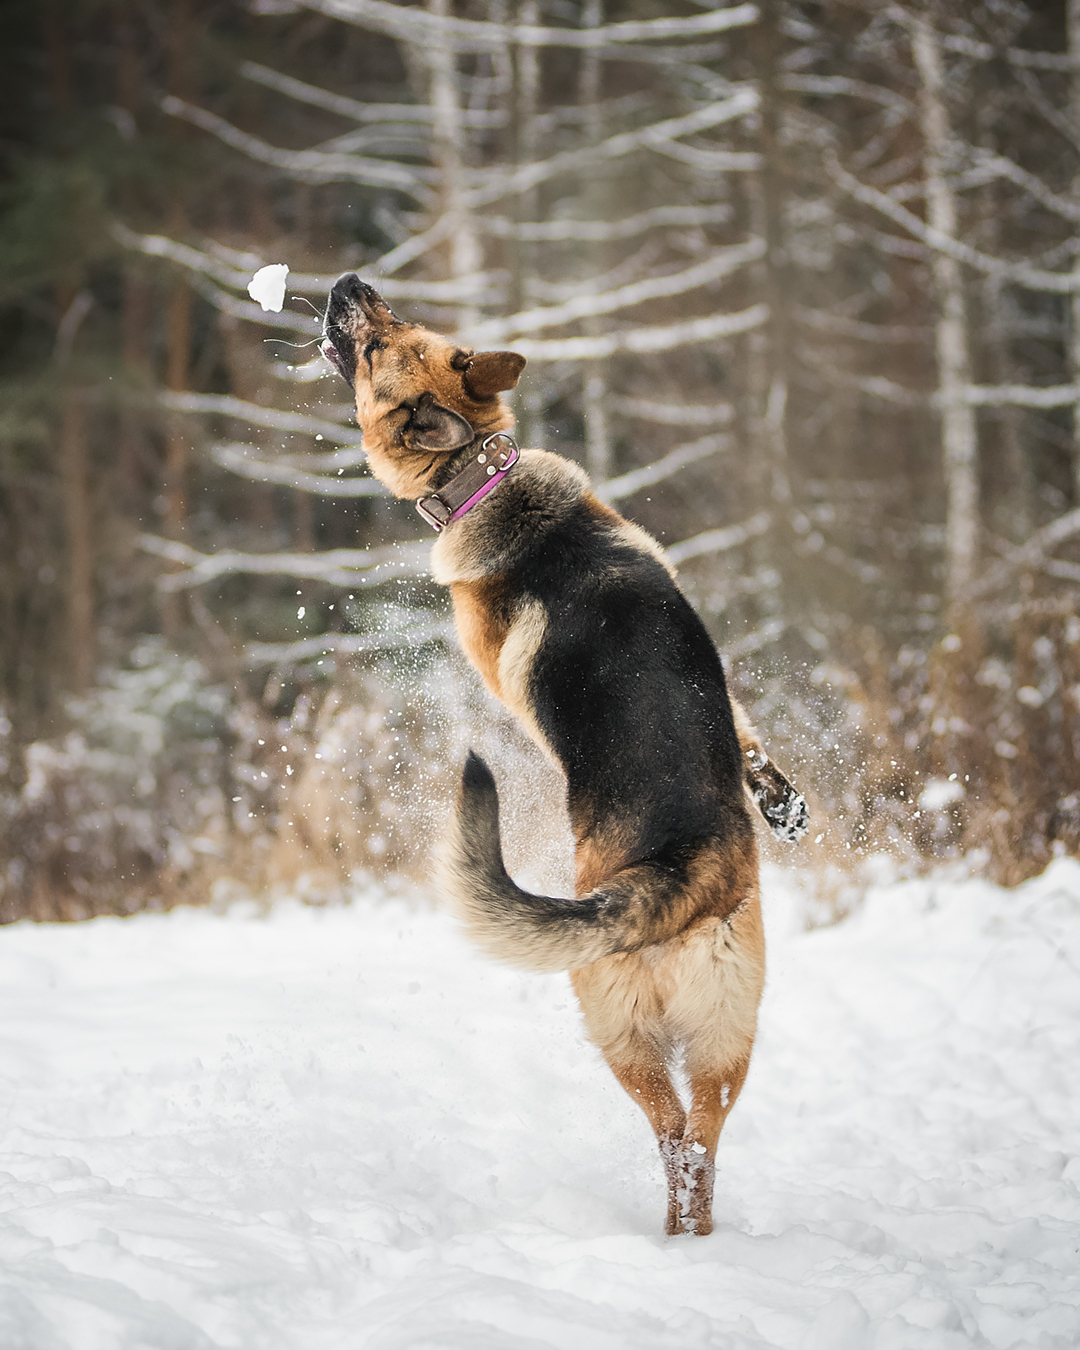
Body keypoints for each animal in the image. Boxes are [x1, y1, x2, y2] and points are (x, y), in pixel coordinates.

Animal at [325, 271, 804, 1236]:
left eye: (377, 343)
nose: (350, 284)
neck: (483, 480)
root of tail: (678, 870)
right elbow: (745, 730)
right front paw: (780, 799)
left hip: (613, 1026)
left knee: (672, 1136)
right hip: (730, 1039)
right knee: (702, 1143)